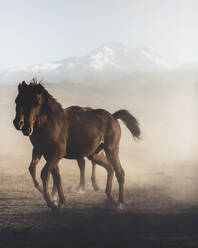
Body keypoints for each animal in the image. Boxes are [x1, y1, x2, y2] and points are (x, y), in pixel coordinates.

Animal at [13, 80, 140, 210]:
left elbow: (45, 173)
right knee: (109, 168)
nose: (22, 126)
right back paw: (111, 198)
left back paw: (120, 202)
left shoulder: (57, 153)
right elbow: (45, 173)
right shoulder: (41, 151)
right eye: (17, 101)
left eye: (37, 102)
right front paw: (59, 201)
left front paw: (52, 202)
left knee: (120, 172)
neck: (51, 123)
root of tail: (113, 116)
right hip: (95, 154)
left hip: (111, 149)